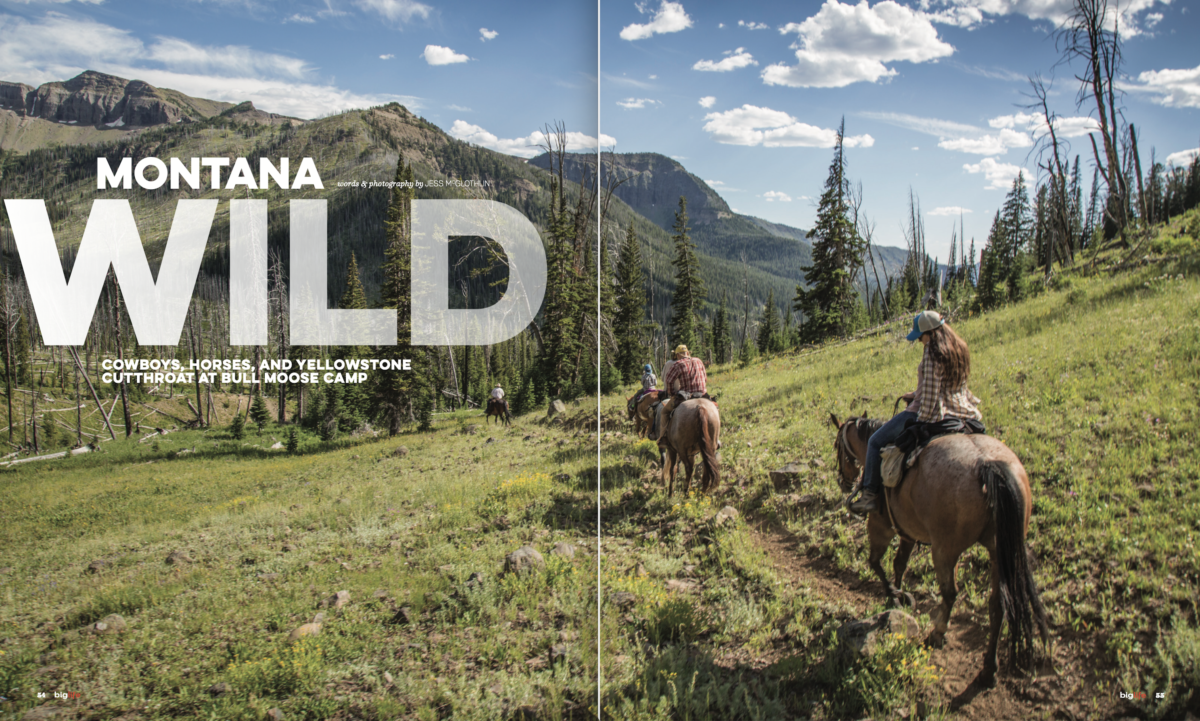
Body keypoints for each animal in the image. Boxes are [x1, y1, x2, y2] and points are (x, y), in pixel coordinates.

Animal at [830, 412, 1046, 681]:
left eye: (837, 446)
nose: (844, 482)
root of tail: (987, 465)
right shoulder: (908, 532)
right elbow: (899, 564)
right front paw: (900, 598)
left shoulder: (880, 526)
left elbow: (876, 562)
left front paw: (894, 595)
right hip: (999, 552)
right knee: (997, 604)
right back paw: (988, 667)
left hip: (944, 550)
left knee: (950, 593)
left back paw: (937, 634)